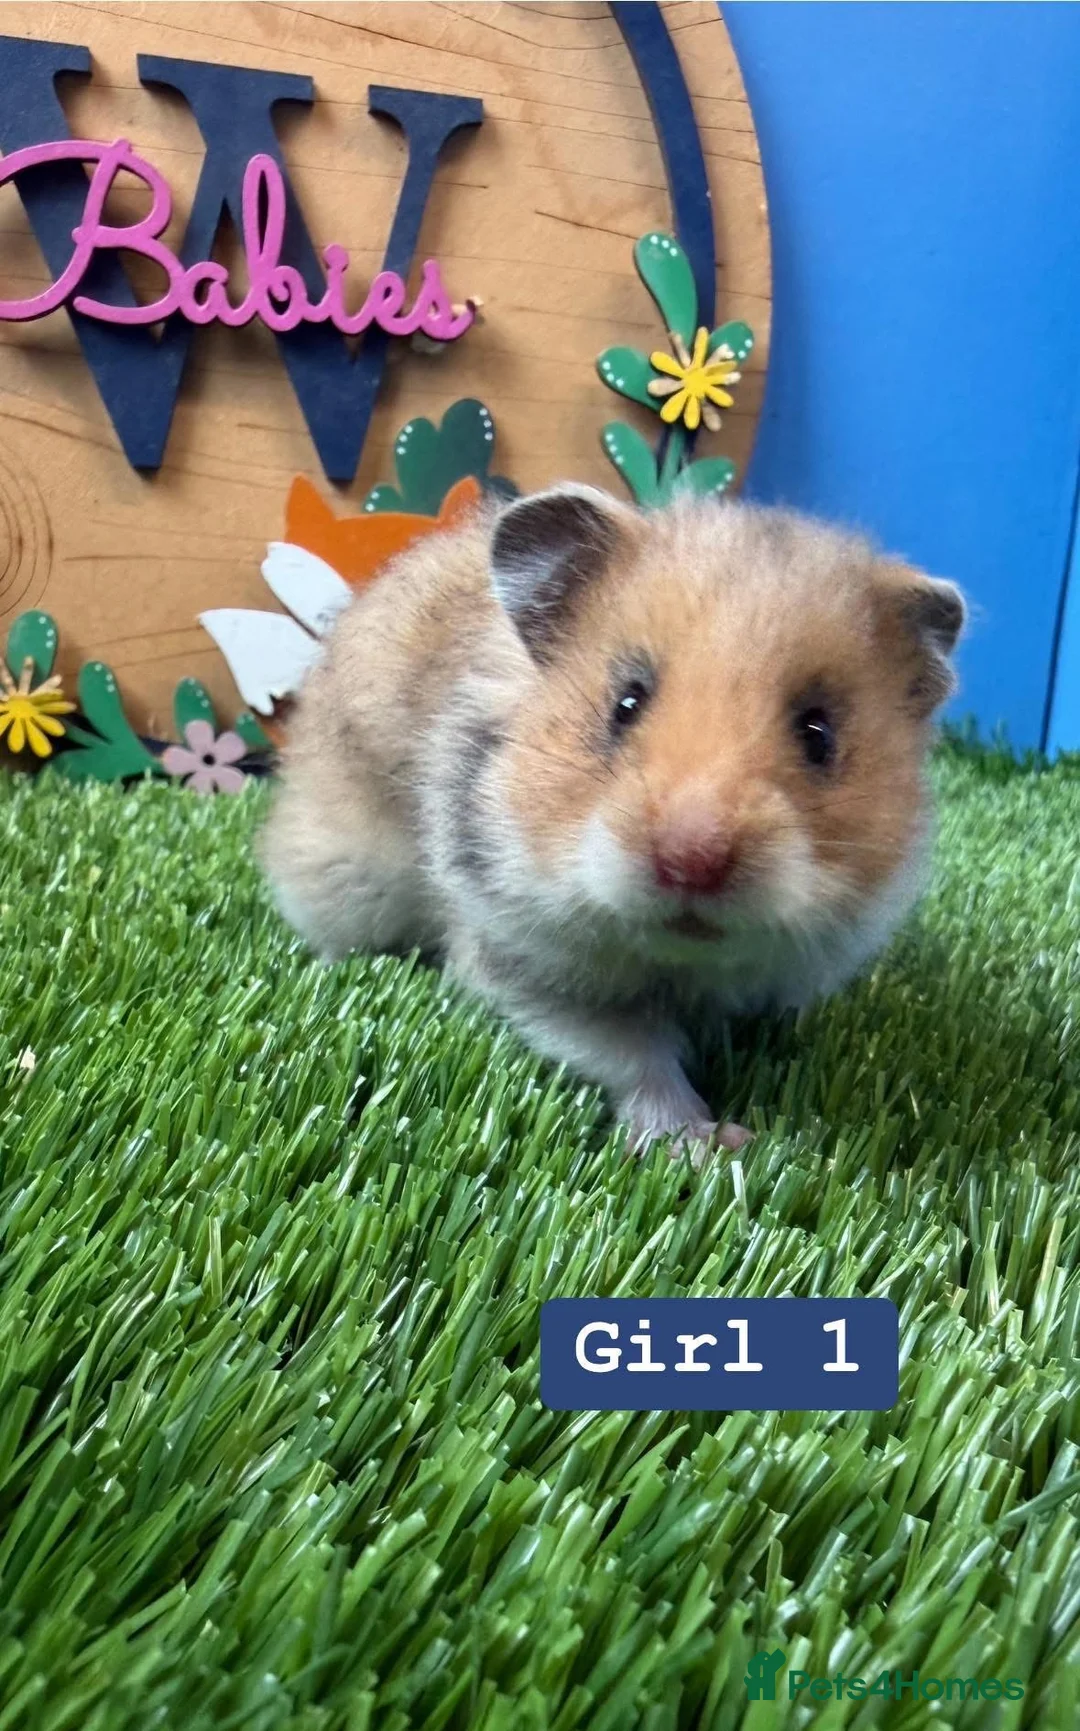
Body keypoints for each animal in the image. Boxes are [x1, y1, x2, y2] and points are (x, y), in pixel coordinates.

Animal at [260, 485, 965, 1158]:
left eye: (819, 734)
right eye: (625, 703)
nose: (692, 859)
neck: (679, 961)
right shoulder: (519, 964)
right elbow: (635, 1056)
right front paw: (705, 1144)